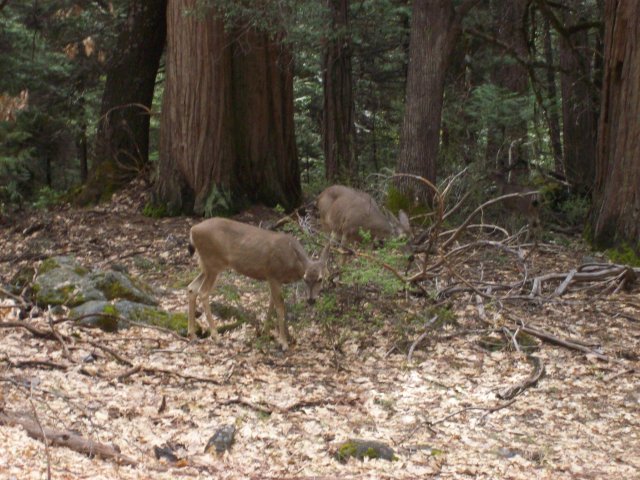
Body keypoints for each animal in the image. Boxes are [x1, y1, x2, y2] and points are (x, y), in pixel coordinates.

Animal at [185, 217, 324, 348]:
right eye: (305, 279)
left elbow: (271, 303)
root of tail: (193, 230)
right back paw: (217, 337)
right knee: (203, 292)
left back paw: (192, 335)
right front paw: (283, 342)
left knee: (191, 287)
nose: (311, 300)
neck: (292, 261)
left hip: (206, 265)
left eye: (320, 279)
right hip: (213, 263)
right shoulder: (273, 274)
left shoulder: (272, 279)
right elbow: (280, 307)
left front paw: (265, 333)